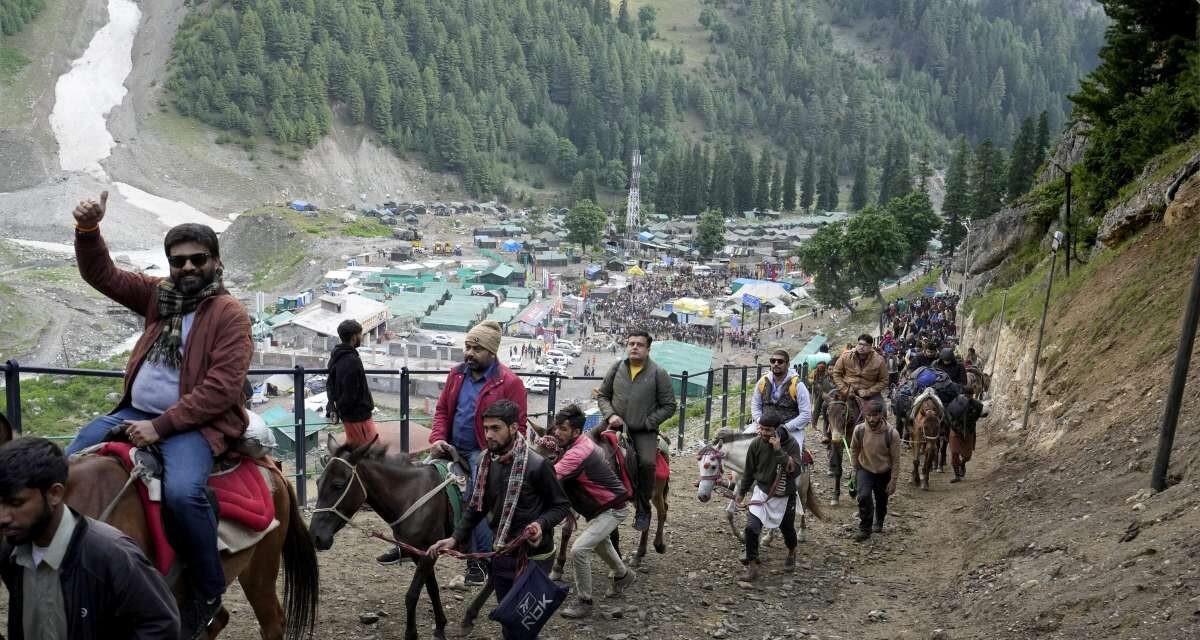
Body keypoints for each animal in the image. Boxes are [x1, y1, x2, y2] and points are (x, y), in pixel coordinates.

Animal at [309, 434, 458, 638]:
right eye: (317, 483)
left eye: (337, 485)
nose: (315, 536)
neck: (411, 495)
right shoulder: (420, 553)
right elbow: (432, 589)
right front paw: (440, 627)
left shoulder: (428, 554)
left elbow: (412, 595)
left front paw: (411, 633)